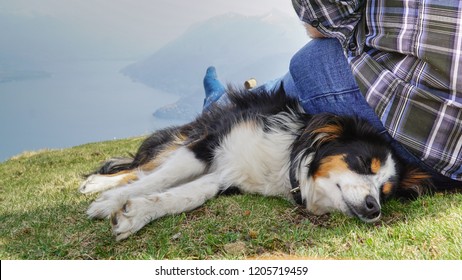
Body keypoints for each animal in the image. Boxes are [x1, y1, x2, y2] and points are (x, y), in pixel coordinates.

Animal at [79, 86, 430, 240]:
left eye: (385, 192)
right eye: (362, 162)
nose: (374, 208)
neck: (286, 159)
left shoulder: (226, 175)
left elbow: (189, 196)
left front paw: (134, 214)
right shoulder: (208, 145)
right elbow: (159, 180)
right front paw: (109, 202)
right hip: (188, 136)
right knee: (140, 167)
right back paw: (97, 184)